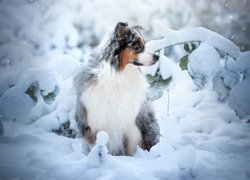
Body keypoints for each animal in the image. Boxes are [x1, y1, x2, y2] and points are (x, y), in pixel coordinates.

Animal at [73, 22, 160, 155]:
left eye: (144, 44)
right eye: (136, 46)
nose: (157, 56)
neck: (118, 76)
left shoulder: (130, 124)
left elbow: (132, 147)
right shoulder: (94, 125)